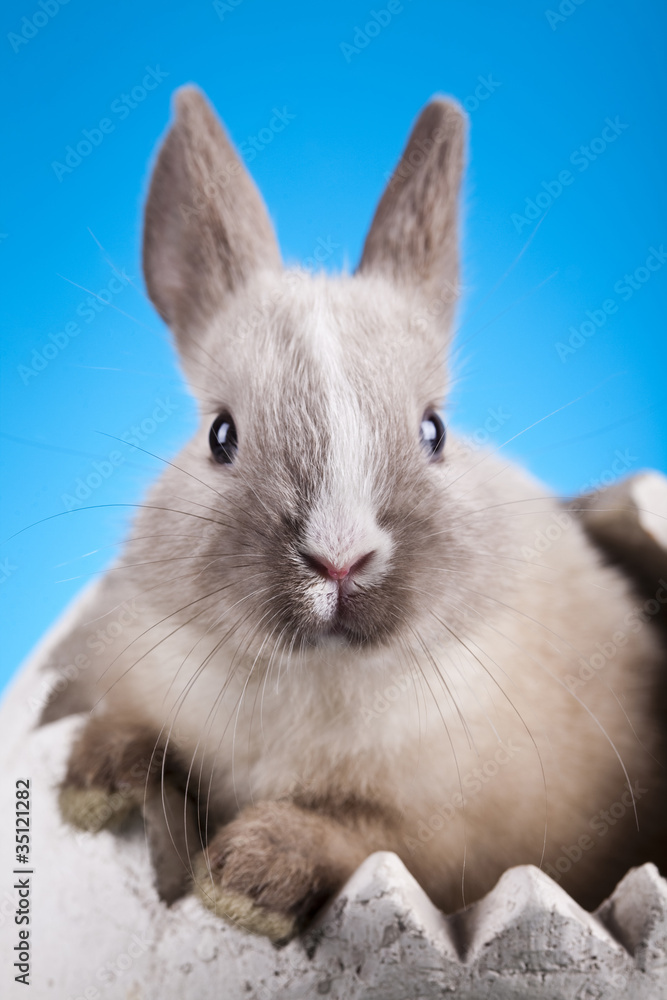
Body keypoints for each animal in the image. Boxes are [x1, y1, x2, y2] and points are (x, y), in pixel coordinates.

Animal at [46, 87, 666, 944]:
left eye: (433, 431)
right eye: (220, 435)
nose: (339, 557)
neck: (313, 673)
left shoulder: (439, 841)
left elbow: (356, 839)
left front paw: (244, 878)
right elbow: (132, 729)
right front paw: (95, 783)